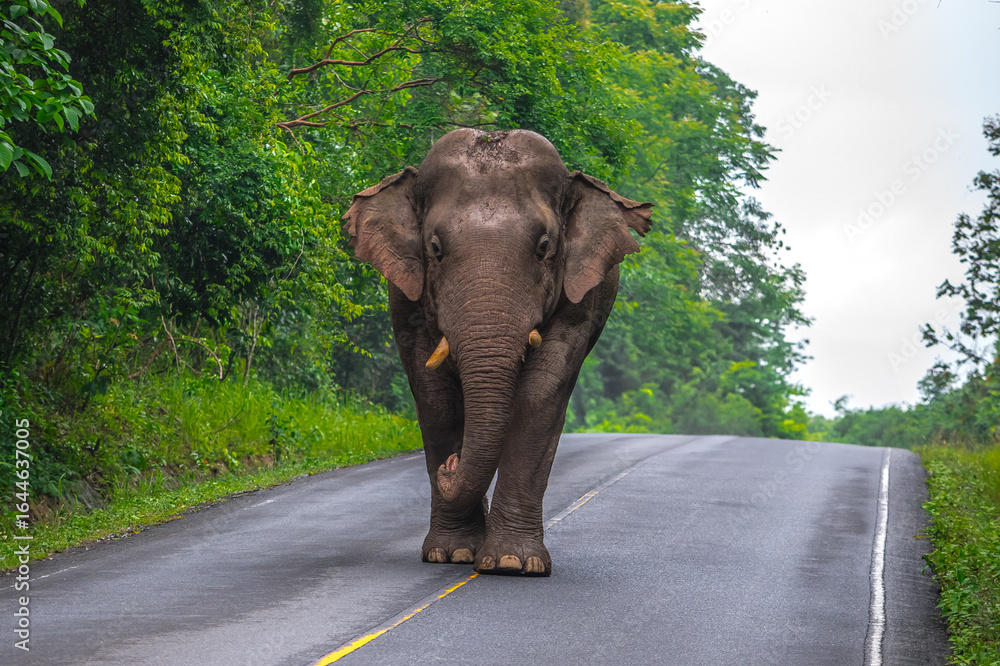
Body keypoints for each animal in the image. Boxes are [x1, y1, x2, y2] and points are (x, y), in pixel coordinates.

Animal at [343, 129, 651, 576]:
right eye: (435, 248)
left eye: (543, 247)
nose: (449, 465)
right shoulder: (403, 294)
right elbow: (435, 397)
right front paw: (451, 554)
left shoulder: (583, 298)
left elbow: (540, 394)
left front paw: (511, 563)